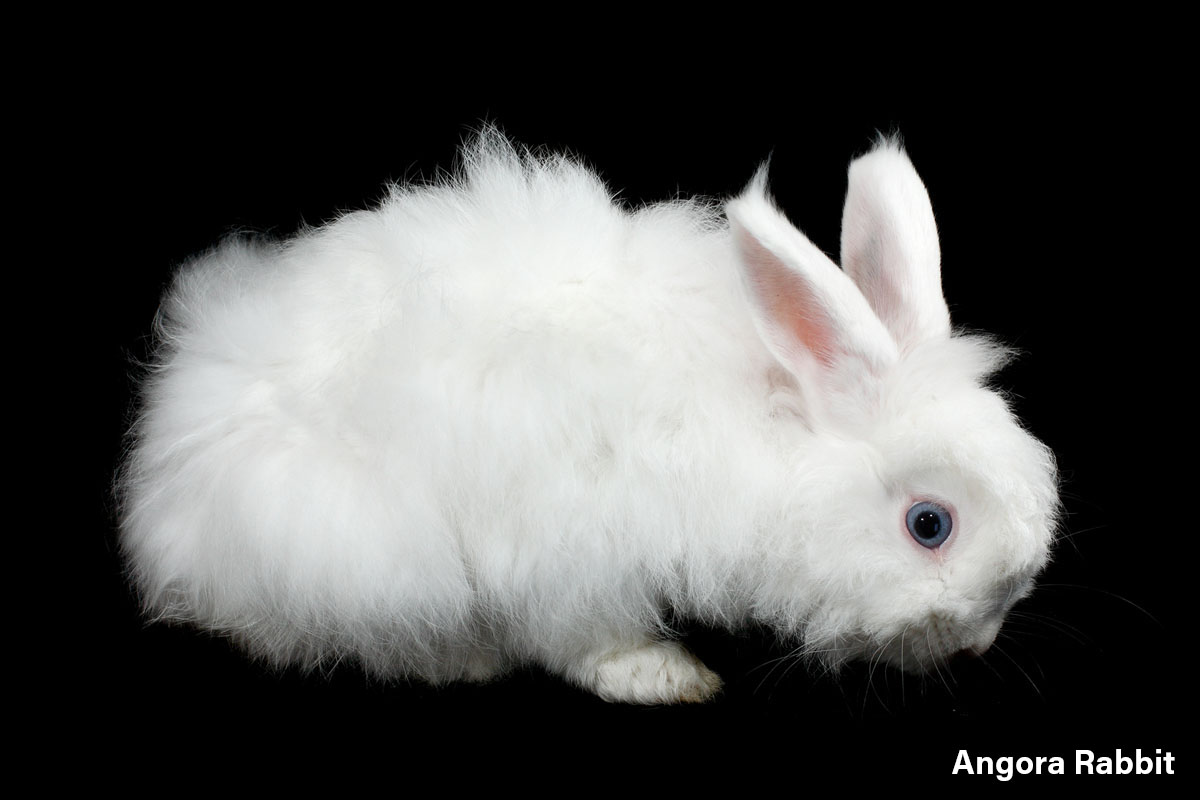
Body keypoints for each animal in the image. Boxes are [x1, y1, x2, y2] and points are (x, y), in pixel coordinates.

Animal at [119, 128, 1060, 705]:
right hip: (353, 546)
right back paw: (467, 657)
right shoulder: (574, 545)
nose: (981, 642)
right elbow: (589, 638)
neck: (762, 424)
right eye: (930, 524)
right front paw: (664, 675)